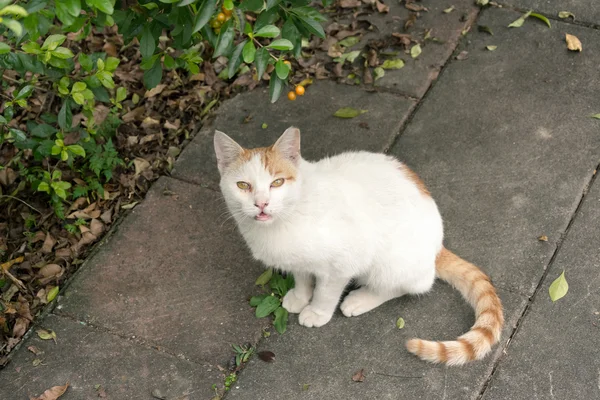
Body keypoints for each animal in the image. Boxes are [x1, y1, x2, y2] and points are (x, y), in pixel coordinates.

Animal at [213, 127, 504, 366]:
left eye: (277, 182)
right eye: (243, 185)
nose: (261, 203)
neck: (287, 217)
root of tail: (438, 246)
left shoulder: (343, 263)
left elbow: (326, 292)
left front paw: (316, 311)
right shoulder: (299, 260)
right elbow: (303, 276)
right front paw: (300, 295)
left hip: (390, 262)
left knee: (412, 284)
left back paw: (361, 299)